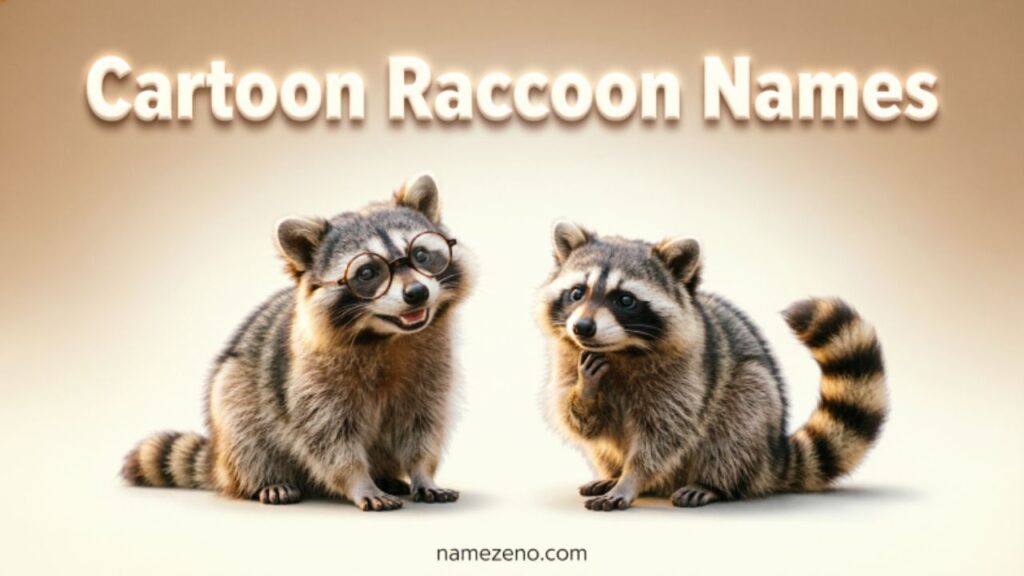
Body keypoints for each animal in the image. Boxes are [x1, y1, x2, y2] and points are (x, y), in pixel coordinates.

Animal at [121, 173, 474, 511]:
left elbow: (422, 425)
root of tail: (218, 462)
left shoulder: (432, 369)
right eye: (368, 272)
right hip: (233, 399)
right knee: (244, 431)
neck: (388, 336)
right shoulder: (310, 379)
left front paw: (422, 472)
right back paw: (268, 480)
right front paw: (360, 482)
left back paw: (387, 476)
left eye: (421, 255)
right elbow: (328, 437)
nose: (417, 293)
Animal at [539, 221, 887, 510]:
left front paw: (631, 478)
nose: (583, 328)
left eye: (624, 300)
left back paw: (711, 483)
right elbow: (582, 421)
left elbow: (665, 435)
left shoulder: (685, 376)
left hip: (753, 411)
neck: (621, 351)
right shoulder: (567, 360)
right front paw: (586, 391)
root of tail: (773, 457)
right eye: (577, 292)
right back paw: (613, 473)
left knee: (742, 412)